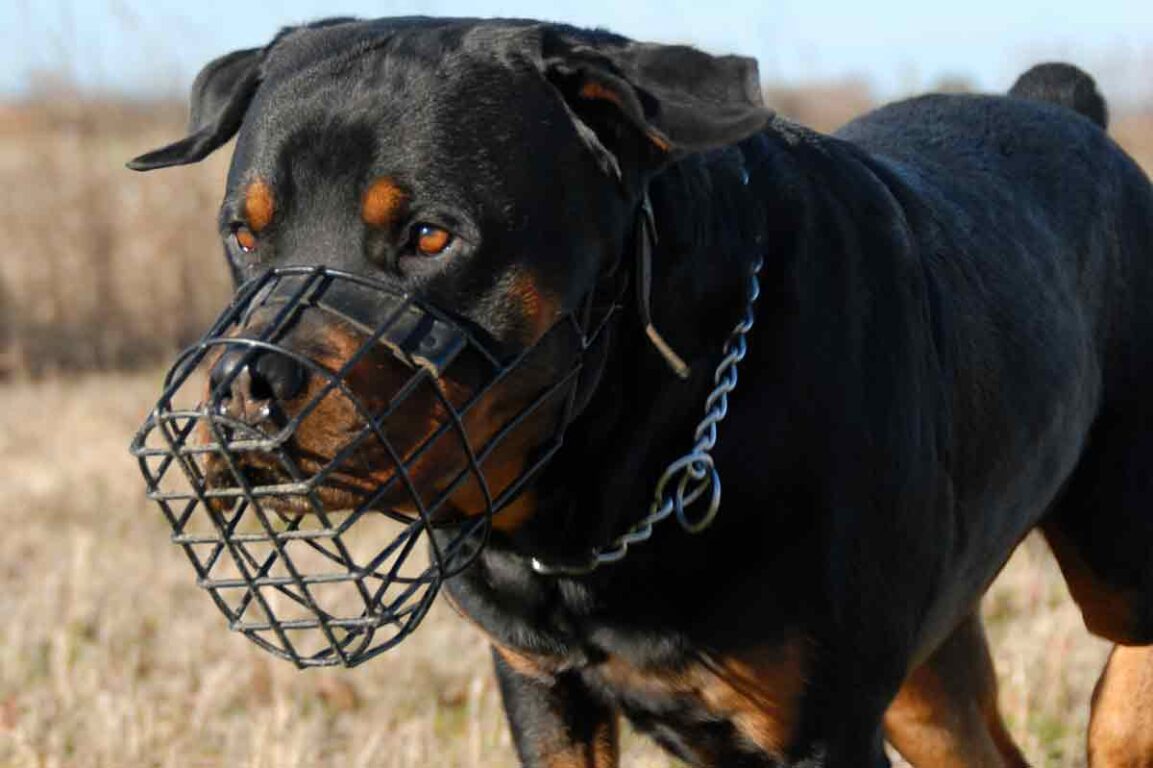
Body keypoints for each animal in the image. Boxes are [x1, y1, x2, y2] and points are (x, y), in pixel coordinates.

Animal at [126, 17, 1153, 765]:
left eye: (428, 236)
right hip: (924, 674)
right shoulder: (541, 690)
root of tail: (1058, 105)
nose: (245, 385)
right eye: (243, 232)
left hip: (1107, 549)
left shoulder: (822, 726)